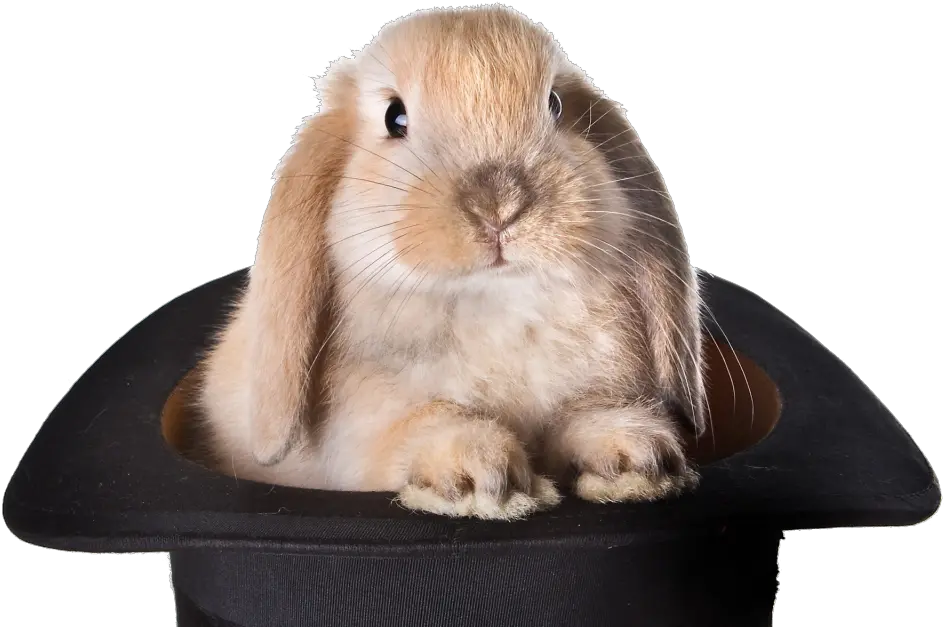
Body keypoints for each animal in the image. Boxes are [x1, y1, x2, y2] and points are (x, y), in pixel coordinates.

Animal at [194, 4, 708, 521]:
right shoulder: (362, 425)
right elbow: (423, 422)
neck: (497, 302)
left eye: (556, 105)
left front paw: (637, 459)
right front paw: (480, 478)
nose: (499, 204)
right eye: (394, 117)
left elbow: (583, 414)